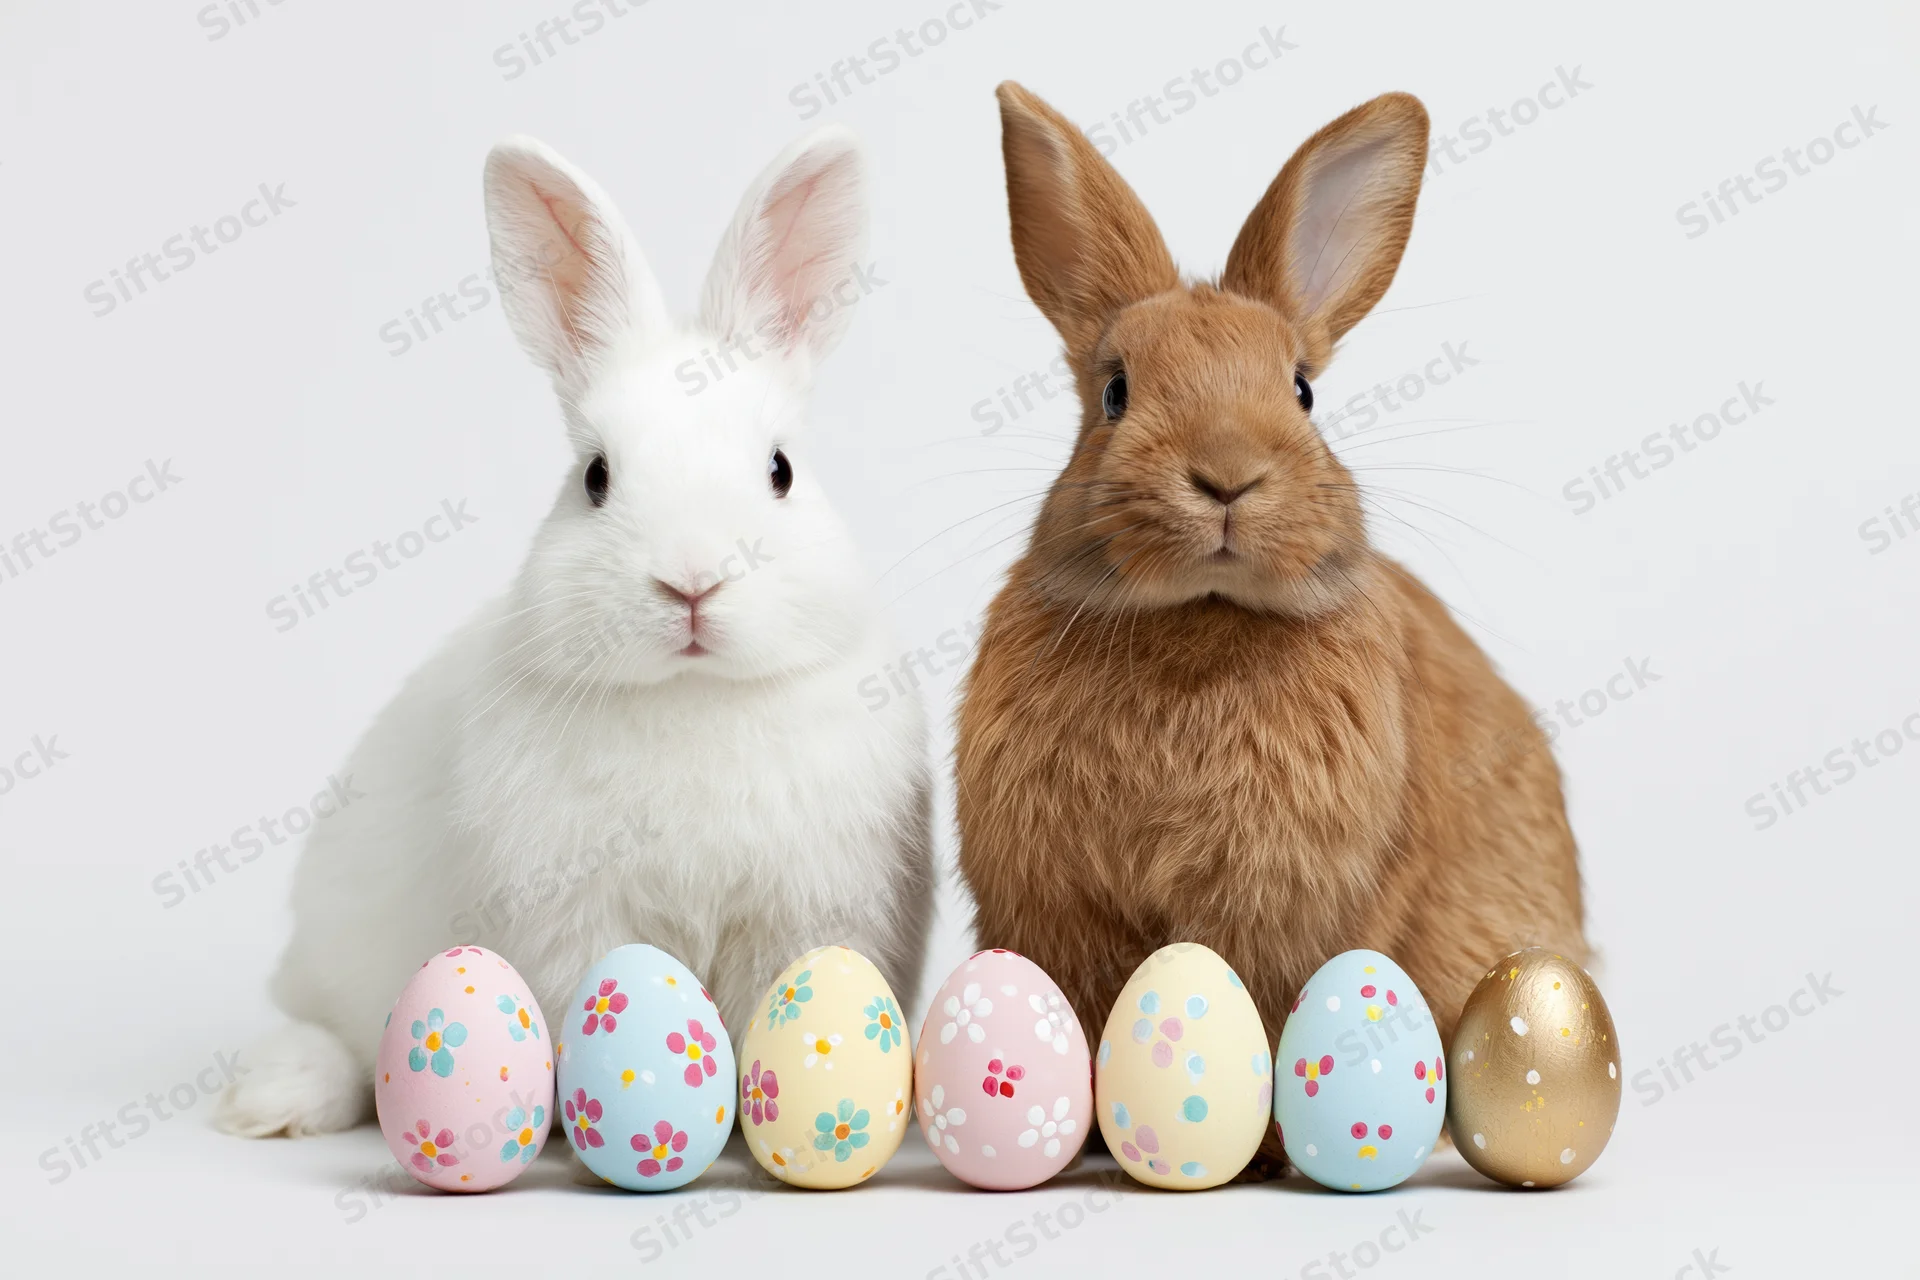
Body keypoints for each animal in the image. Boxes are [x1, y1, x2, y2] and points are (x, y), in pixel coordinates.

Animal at [216, 127, 933, 1138]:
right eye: (594, 478)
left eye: (781, 470)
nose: (691, 582)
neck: (692, 694)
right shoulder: (572, 929)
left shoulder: (805, 921)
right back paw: (273, 1103)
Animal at [954, 84, 1588, 1171]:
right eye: (1115, 390)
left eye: (1302, 390)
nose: (1226, 474)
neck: (1200, 618)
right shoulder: (1058, 907)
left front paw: (1274, 1152)